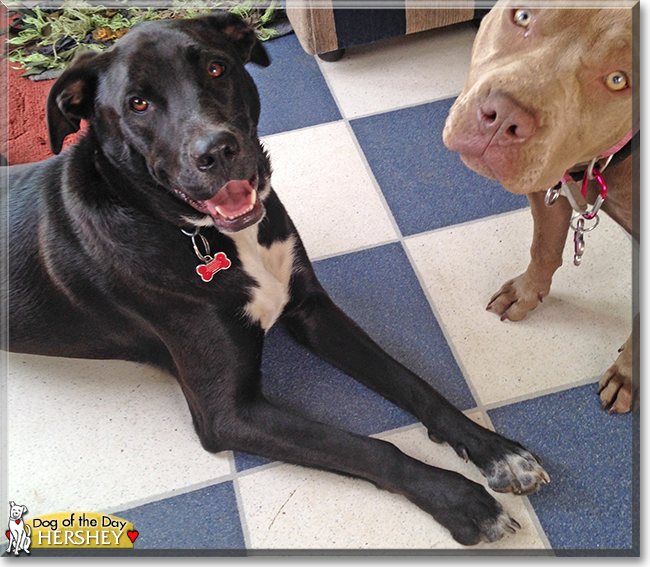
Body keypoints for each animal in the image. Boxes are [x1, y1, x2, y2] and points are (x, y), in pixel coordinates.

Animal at [1, 12, 548, 544]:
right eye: (137, 103)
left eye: (216, 68)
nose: (217, 151)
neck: (204, 234)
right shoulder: (227, 414)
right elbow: (368, 448)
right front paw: (461, 501)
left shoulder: (311, 311)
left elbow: (413, 382)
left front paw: (495, 450)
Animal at [442, 2, 636, 414]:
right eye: (523, 16)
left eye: (618, 80)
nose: (503, 117)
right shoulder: (551, 183)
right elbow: (544, 248)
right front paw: (526, 293)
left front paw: (629, 377)